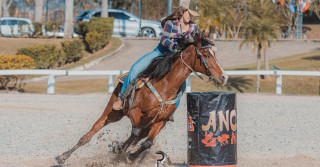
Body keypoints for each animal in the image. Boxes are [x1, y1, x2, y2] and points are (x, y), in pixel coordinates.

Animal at [56, 31, 229, 164]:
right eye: (205, 54)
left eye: (214, 53)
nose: (224, 77)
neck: (165, 86)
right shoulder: (135, 111)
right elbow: (135, 132)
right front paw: (122, 150)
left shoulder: (160, 121)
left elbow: (147, 143)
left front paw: (130, 154)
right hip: (112, 113)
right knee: (91, 133)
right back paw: (63, 156)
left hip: (146, 124)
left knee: (139, 137)